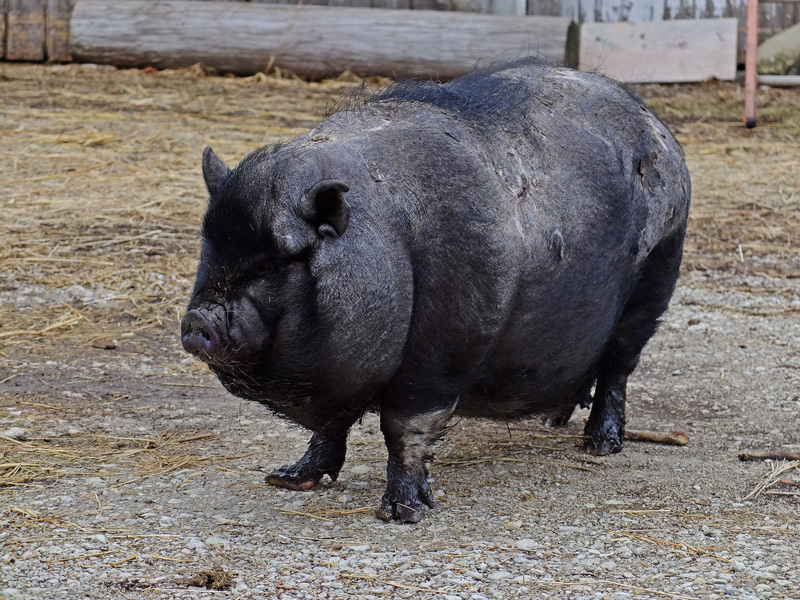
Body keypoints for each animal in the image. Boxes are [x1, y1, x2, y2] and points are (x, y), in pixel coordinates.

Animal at [181, 58, 691, 523]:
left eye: (273, 262)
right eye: (210, 251)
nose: (196, 320)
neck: (390, 237)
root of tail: (658, 129)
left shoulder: (441, 353)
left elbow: (403, 428)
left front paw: (401, 513)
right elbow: (330, 428)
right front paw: (285, 479)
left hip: (656, 277)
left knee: (618, 367)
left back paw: (601, 445)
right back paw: (551, 421)